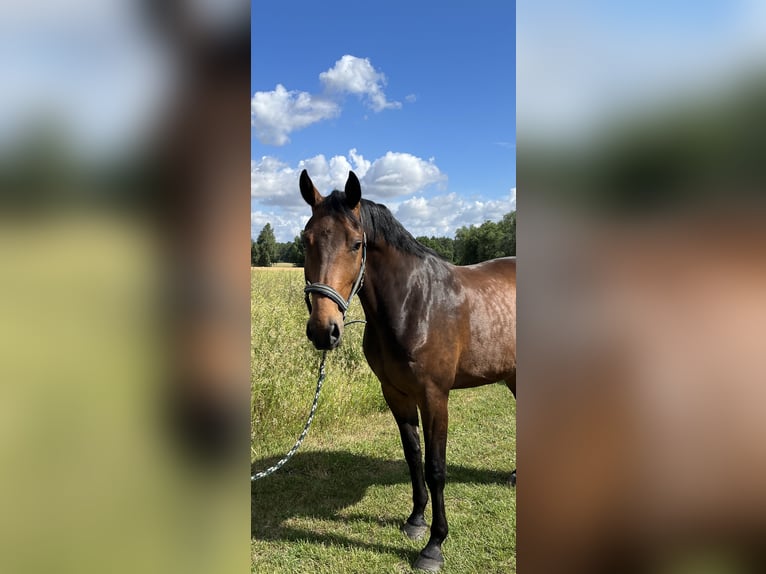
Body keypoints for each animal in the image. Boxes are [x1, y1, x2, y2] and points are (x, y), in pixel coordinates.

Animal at [300, 169, 516, 572]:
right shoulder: (396, 393)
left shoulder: (435, 397)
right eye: (305, 240)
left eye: (356, 244)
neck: (414, 303)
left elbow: (435, 467)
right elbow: (413, 456)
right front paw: (416, 521)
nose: (324, 330)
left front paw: (434, 545)